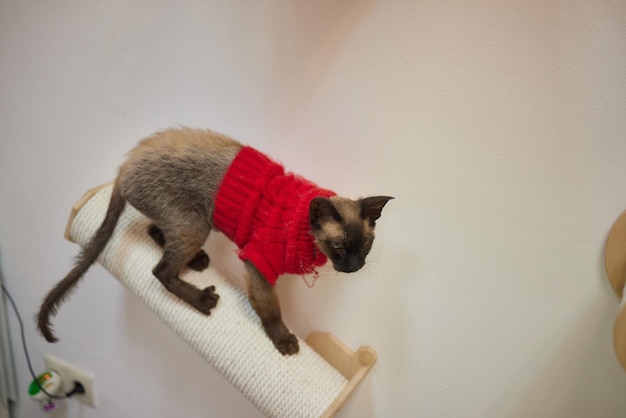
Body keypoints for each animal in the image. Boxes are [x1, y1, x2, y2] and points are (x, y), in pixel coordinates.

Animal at [35, 125, 390, 354]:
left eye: (365, 244)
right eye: (339, 245)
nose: (353, 267)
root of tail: (123, 167)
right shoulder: (257, 266)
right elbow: (271, 310)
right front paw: (285, 342)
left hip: (189, 221)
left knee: (156, 234)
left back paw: (197, 261)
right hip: (195, 225)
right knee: (160, 271)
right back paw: (202, 298)